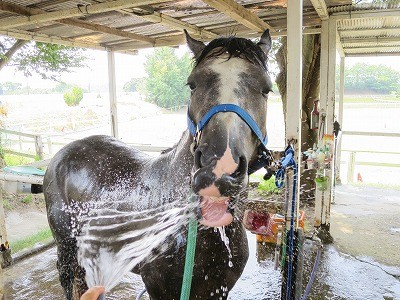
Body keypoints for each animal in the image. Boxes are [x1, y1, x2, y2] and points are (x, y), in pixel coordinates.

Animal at [44, 28, 276, 300]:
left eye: (266, 89)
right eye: (192, 84)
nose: (219, 169)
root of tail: (62, 154)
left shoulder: (217, 288)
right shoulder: (158, 286)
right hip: (66, 248)